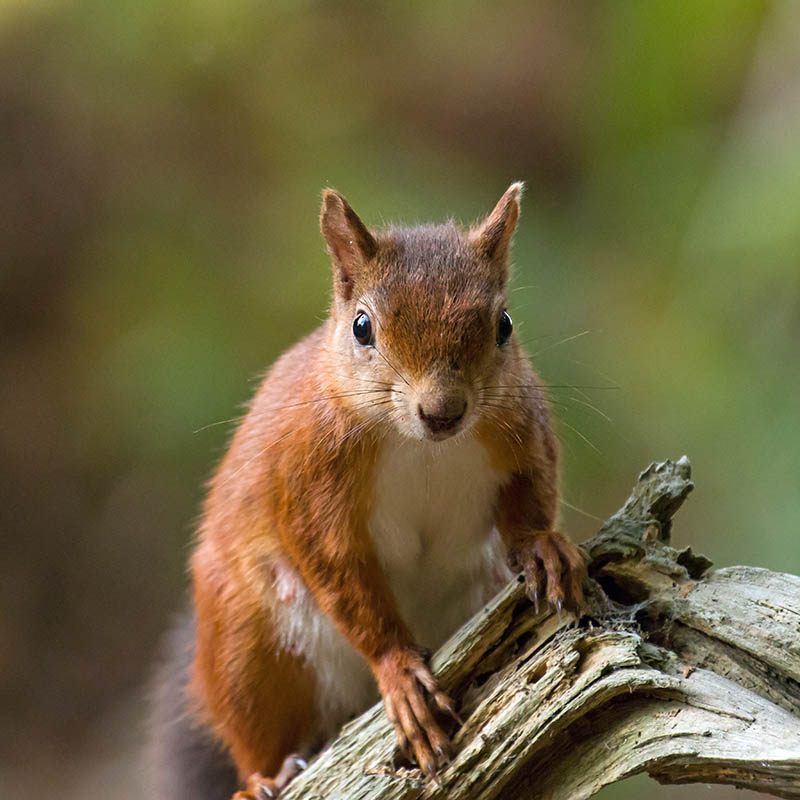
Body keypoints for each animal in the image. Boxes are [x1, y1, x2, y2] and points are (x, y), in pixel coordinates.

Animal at [150, 184, 588, 796]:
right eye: (362, 328)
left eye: (503, 324)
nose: (443, 412)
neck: (422, 447)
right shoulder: (310, 475)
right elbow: (339, 570)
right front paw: (399, 673)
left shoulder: (522, 431)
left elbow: (532, 495)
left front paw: (543, 546)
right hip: (247, 649)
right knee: (254, 733)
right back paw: (262, 779)